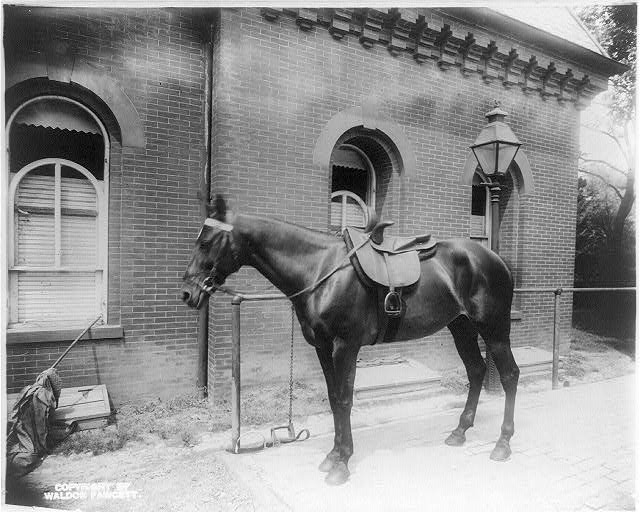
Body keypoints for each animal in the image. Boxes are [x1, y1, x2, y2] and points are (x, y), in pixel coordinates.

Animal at [181, 196, 520, 484]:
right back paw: (460, 431)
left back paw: (502, 444)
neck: (321, 270)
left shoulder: (345, 347)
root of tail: (496, 259)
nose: (187, 293)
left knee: (509, 375)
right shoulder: (322, 347)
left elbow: (344, 400)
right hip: (461, 327)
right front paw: (333, 455)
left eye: (206, 242)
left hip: (494, 329)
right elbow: (334, 399)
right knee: (476, 371)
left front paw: (342, 464)